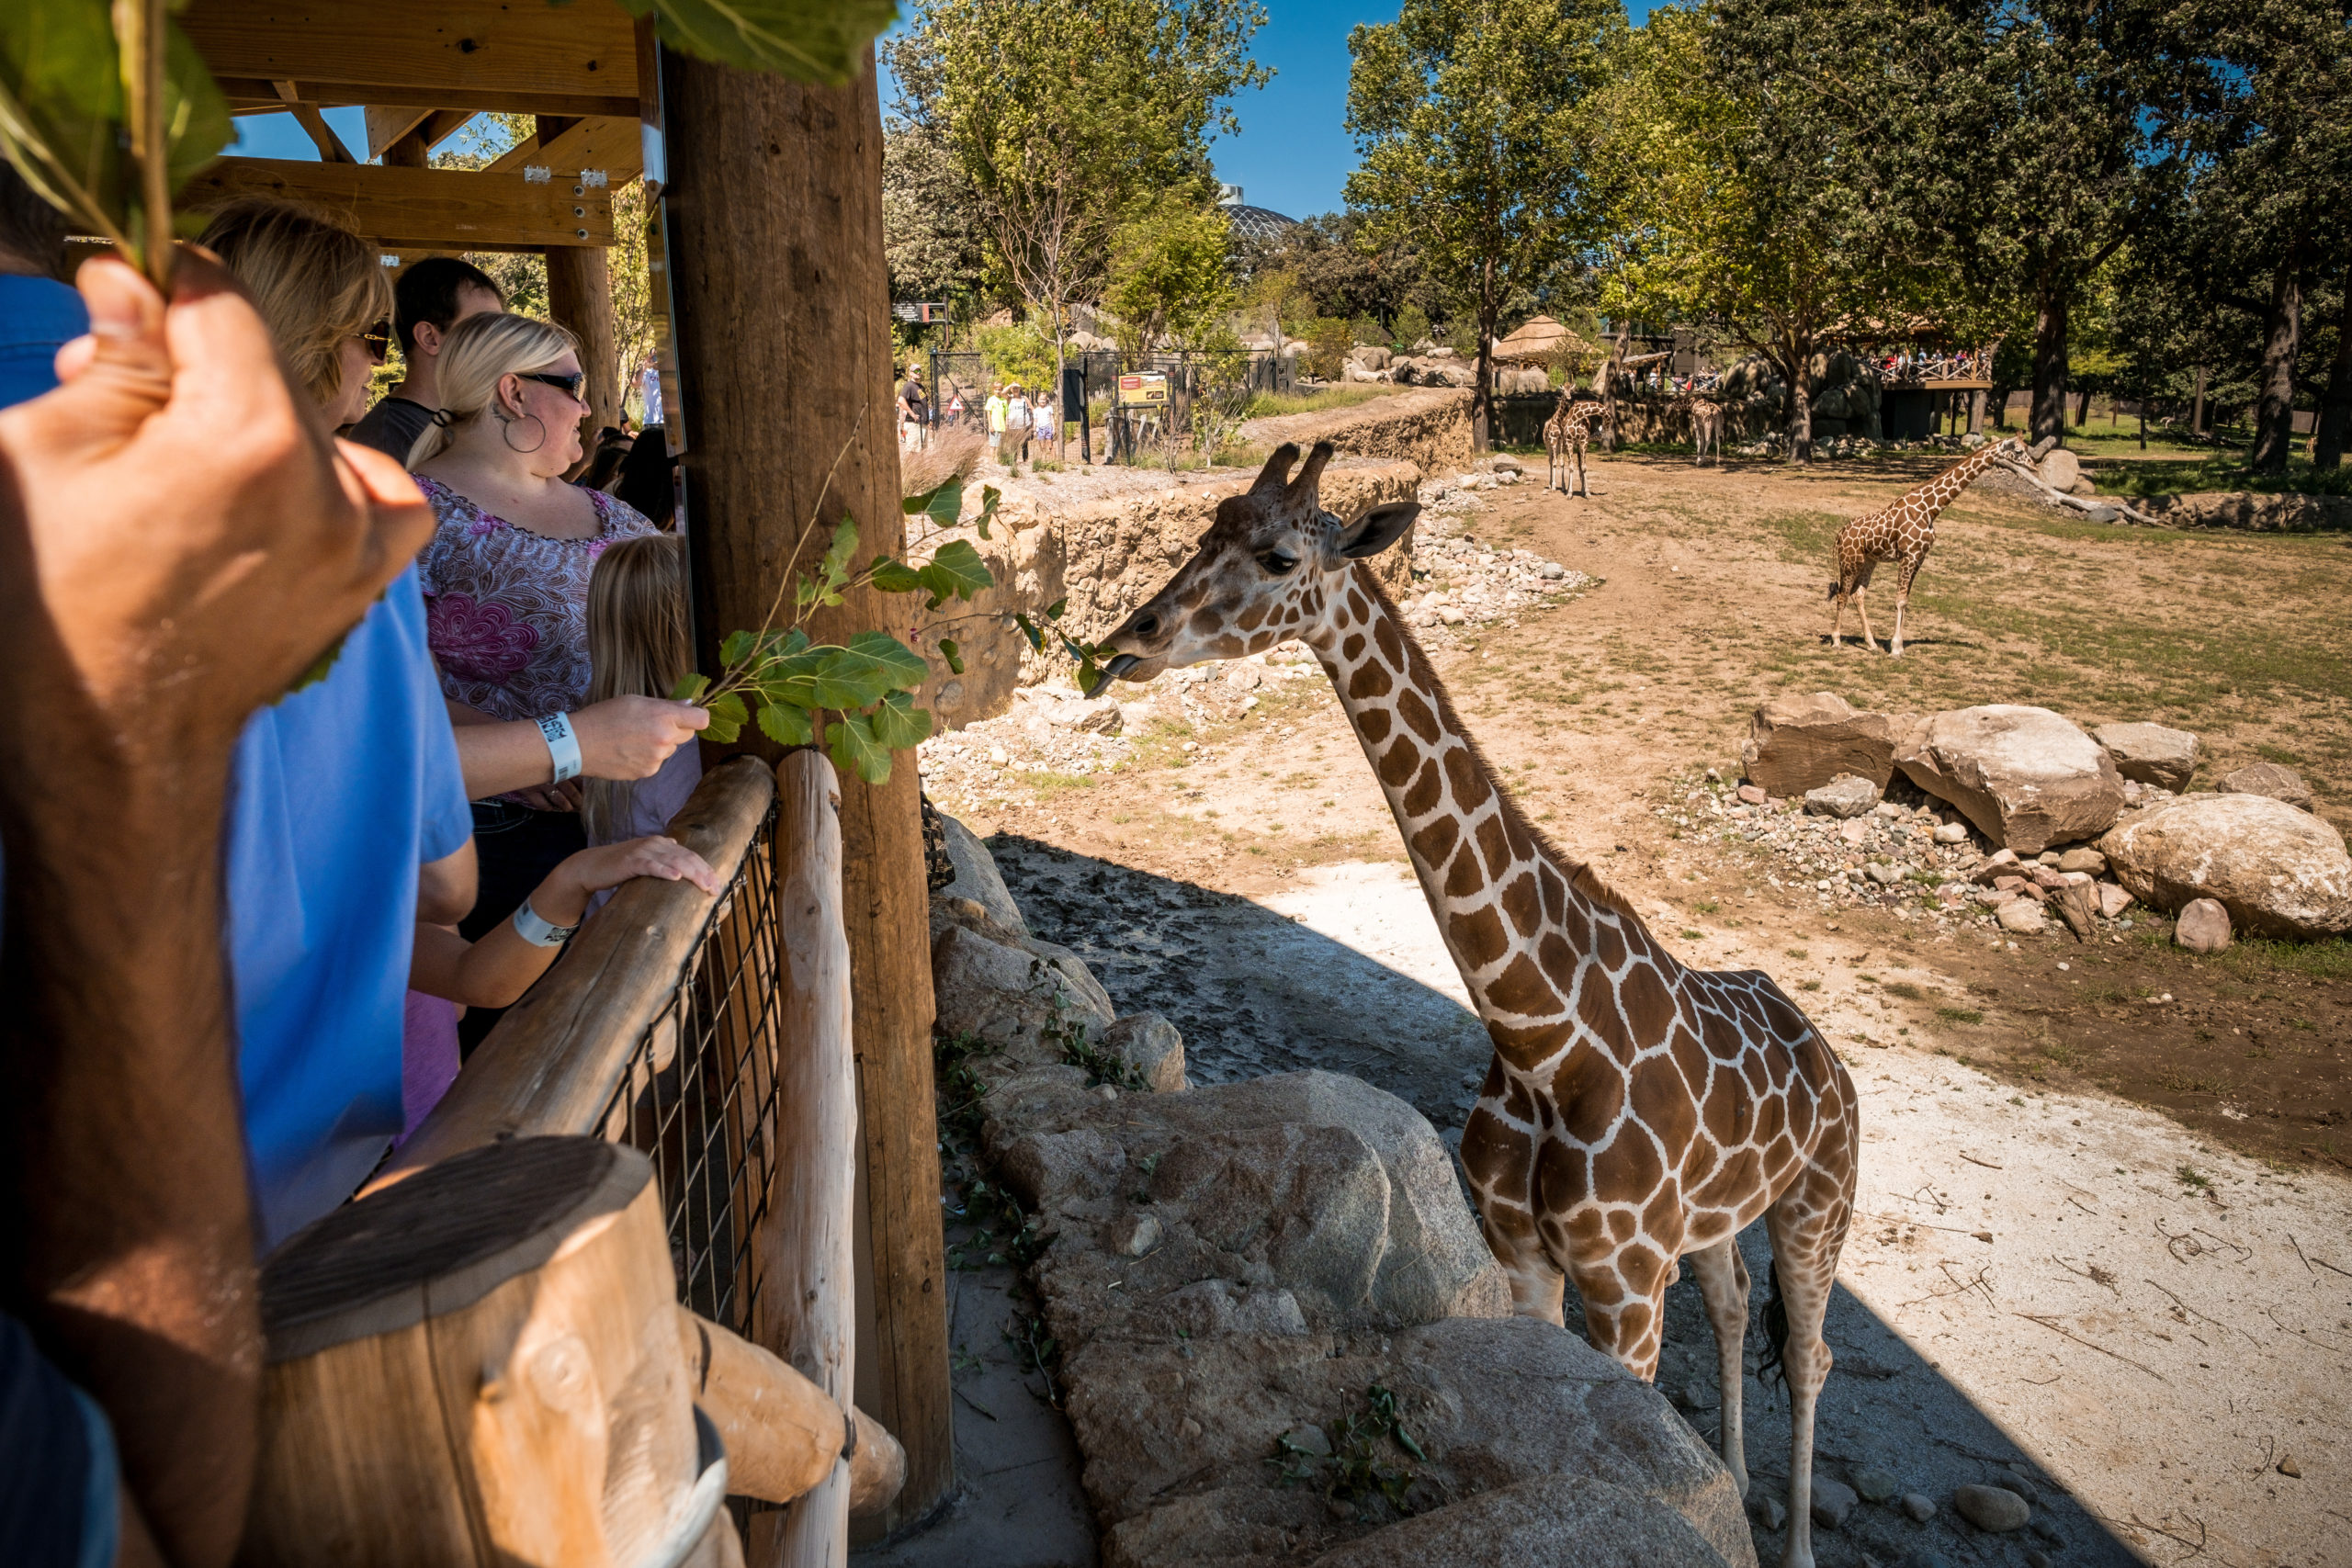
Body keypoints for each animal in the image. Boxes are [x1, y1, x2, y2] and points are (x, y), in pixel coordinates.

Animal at [1091, 442, 1862, 1568]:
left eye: (1278, 556)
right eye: (1204, 531)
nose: (1128, 640)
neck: (1543, 1037)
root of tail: (1830, 1058)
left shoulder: (1627, 1289)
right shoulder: (1529, 1259)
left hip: (1821, 1204)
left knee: (1810, 1354)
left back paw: (1795, 1542)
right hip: (1720, 1220)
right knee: (1733, 1304)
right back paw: (1740, 1485)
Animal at [1815, 434, 2041, 658]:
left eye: (2027, 448)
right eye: (2018, 451)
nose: (2035, 466)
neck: (1930, 508)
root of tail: (1839, 535)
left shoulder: (1919, 557)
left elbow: (1906, 600)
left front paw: (1898, 647)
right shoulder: (1908, 555)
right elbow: (1899, 600)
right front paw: (1895, 649)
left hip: (1869, 560)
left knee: (1858, 594)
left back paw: (1871, 644)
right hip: (1850, 561)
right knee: (1843, 594)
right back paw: (1836, 641)